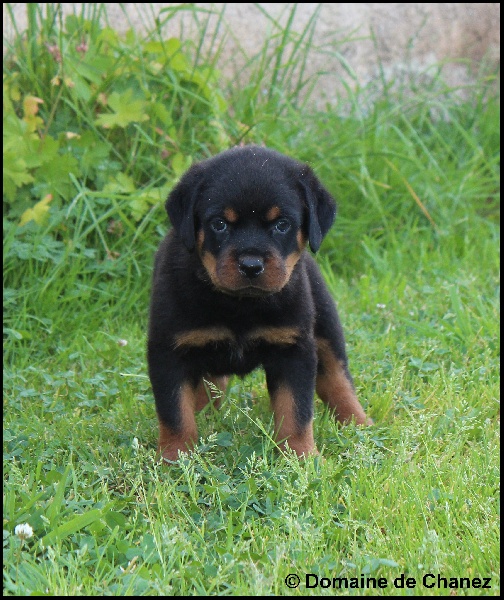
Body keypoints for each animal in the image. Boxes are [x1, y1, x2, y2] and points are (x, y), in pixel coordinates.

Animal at [148, 145, 371, 462]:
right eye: (219, 224)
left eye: (282, 224)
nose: (251, 264)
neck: (241, 305)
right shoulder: (169, 350)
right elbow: (175, 411)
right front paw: (175, 456)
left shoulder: (294, 349)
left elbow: (296, 410)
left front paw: (302, 456)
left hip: (326, 325)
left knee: (338, 379)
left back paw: (360, 424)